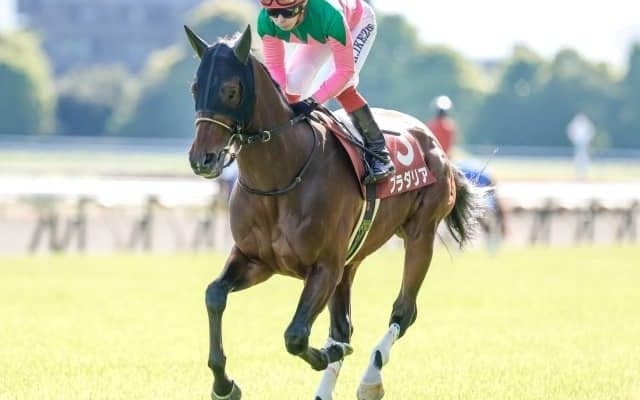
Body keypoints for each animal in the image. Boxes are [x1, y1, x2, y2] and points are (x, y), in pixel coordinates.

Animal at [184, 25, 485, 400]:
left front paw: (329, 353)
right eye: (195, 87)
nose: (202, 159)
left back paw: (371, 378)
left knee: (403, 311)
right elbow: (214, 295)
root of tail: (433, 142)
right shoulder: (257, 260)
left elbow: (297, 335)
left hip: (420, 235)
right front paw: (224, 384)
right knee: (344, 324)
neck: (280, 177)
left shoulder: (325, 267)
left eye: (230, 90)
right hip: (351, 260)